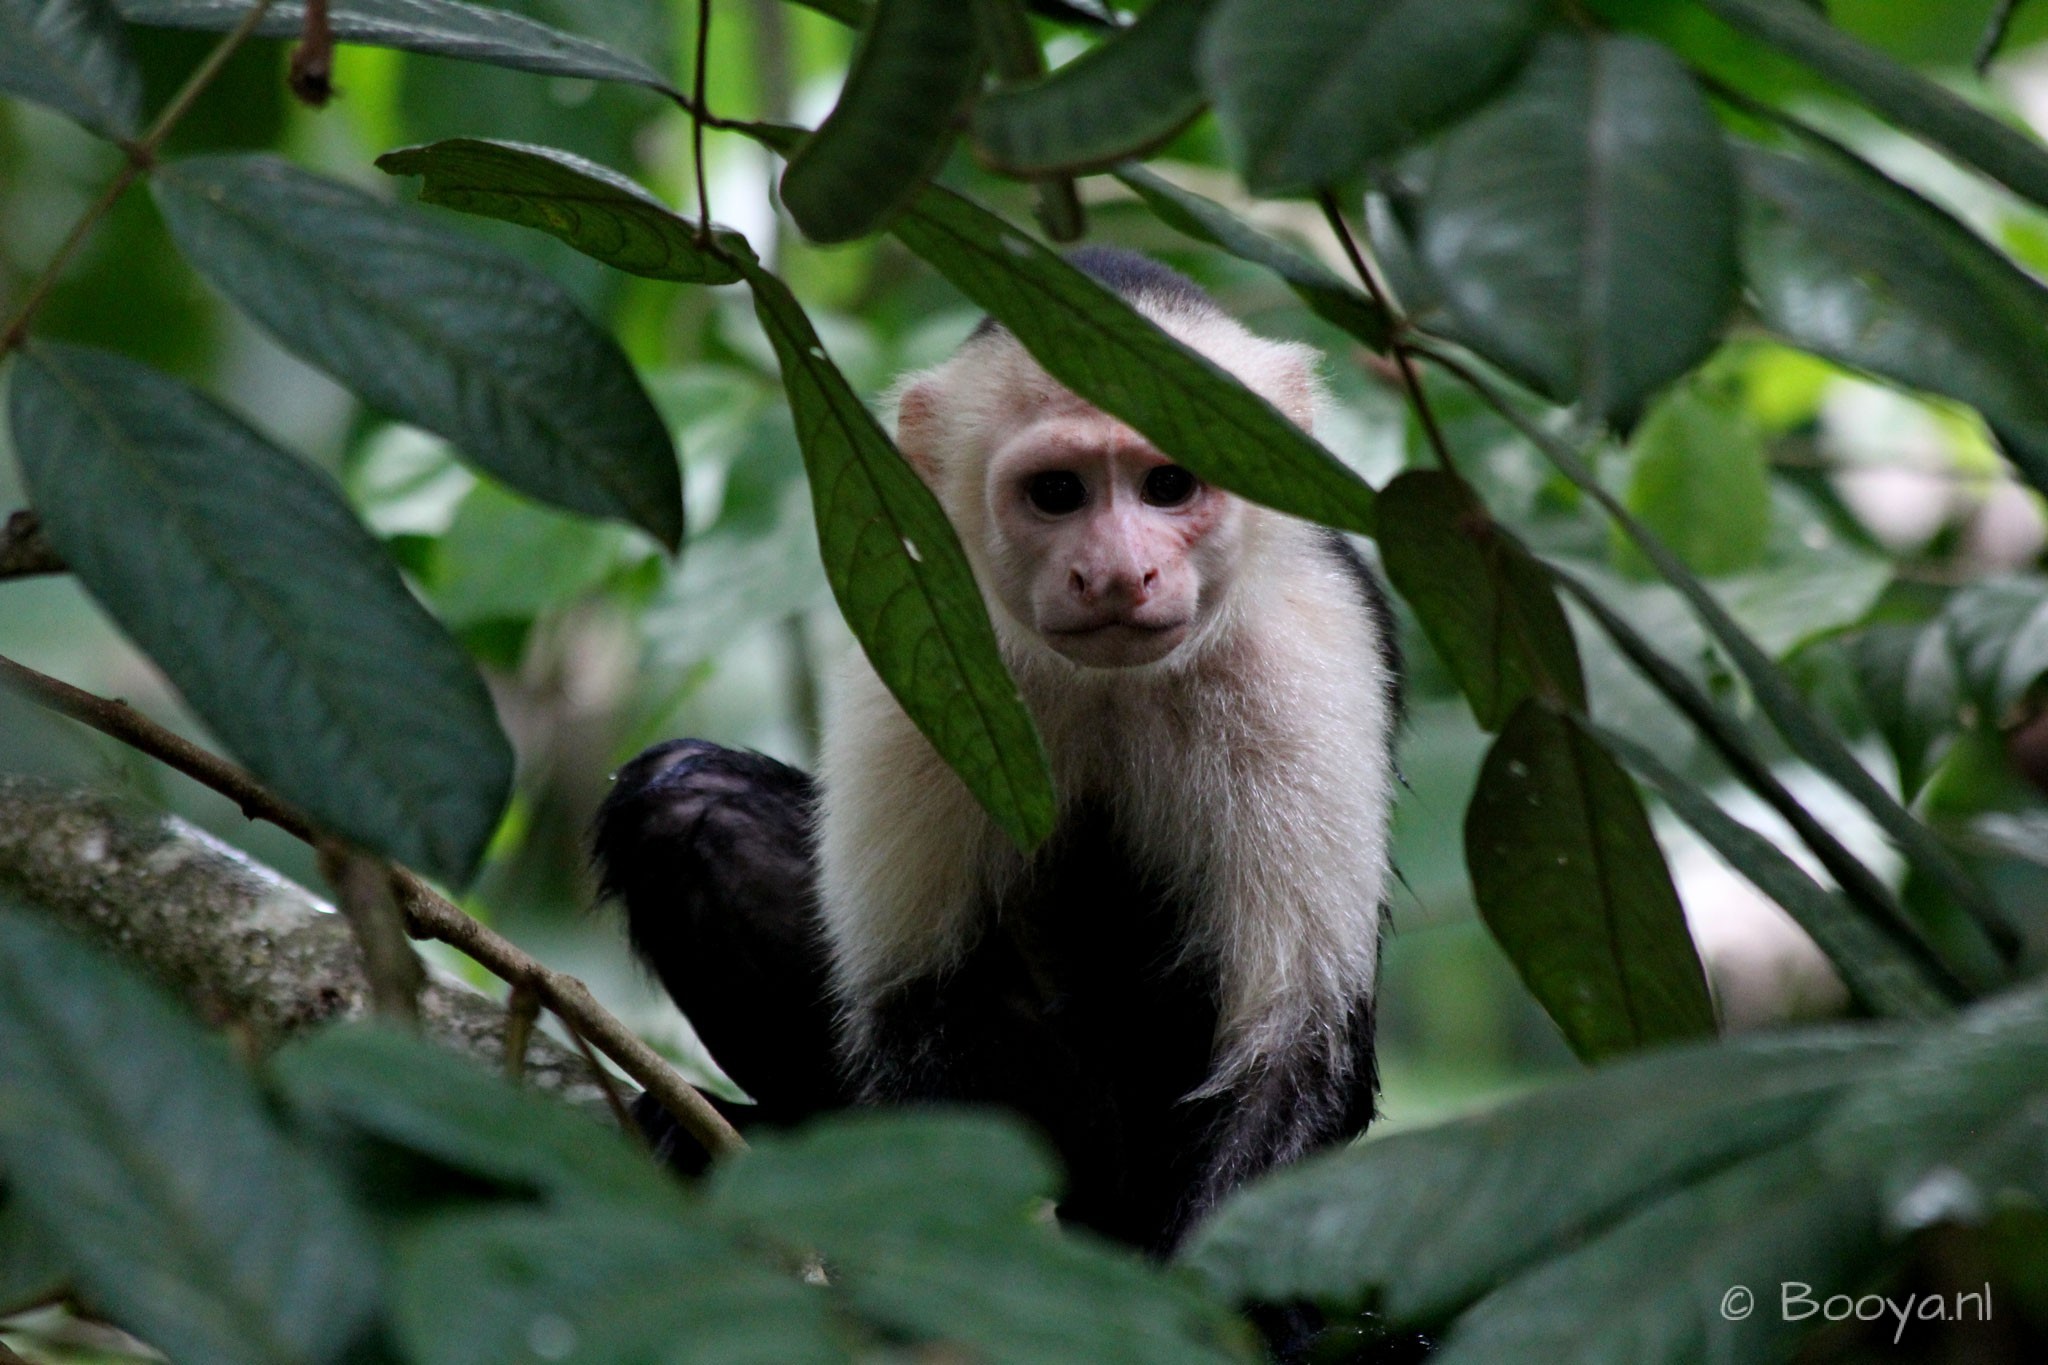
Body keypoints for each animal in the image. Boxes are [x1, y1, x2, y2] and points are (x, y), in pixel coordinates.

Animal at [595, 249, 1401, 1256]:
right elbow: (911, 1018)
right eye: (1058, 492)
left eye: (1168, 483)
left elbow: (1297, 1047)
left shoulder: (1308, 646)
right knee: (681, 801)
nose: (1119, 573)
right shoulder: (922, 628)